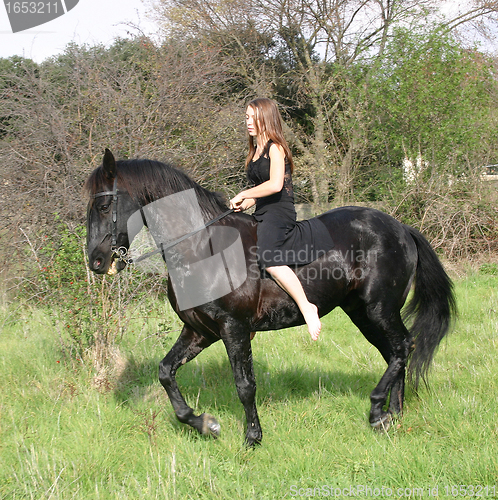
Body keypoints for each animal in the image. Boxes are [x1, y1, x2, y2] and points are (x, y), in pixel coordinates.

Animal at [84, 148, 456, 446]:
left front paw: (252, 437)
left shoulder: (233, 328)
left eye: (103, 205)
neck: (200, 247)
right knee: (395, 353)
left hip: (379, 309)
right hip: (363, 314)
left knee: (403, 347)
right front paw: (204, 424)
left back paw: (378, 409)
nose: (96, 261)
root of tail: (400, 228)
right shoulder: (200, 331)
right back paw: (394, 414)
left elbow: (244, 385)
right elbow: (165, 372)